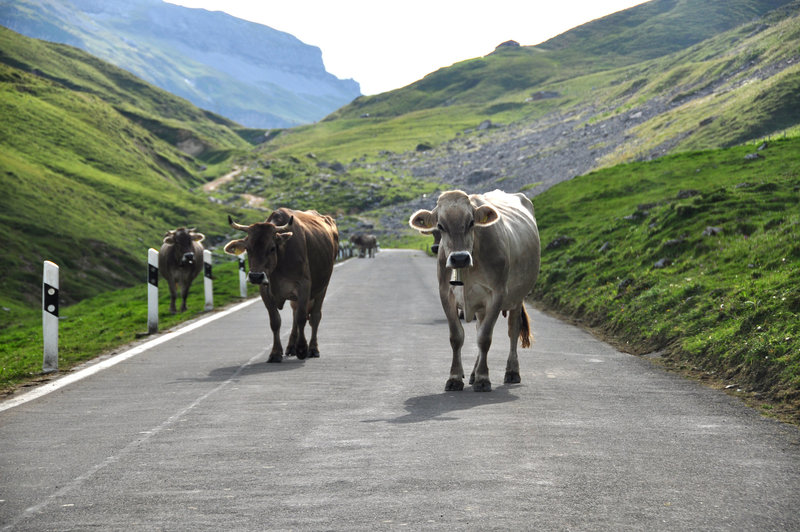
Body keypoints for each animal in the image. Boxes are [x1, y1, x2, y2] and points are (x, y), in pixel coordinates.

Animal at [223, 208, 340, 362]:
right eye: (248, 249)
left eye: (272, 248)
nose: (255, 276)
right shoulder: (265, 291)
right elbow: (275, 321)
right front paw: (275, 353)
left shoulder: (304, 286)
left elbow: (302, 317)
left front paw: (302, 348)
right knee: (295, 314)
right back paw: (291, 346)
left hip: (322, 286)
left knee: (315, 316)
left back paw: (313, 348)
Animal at [410, 190, 540, 390]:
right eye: (440, 225)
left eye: (471, 222)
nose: (459, 258)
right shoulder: (445, 294)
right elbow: (457, 337)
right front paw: (455, 378)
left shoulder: (497, 294)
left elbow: (485, 338)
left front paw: (483, 379)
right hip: (481, 305)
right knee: (480, 327)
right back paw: (472, 373)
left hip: (518, 296)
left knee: (513, 330)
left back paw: (512, 371)